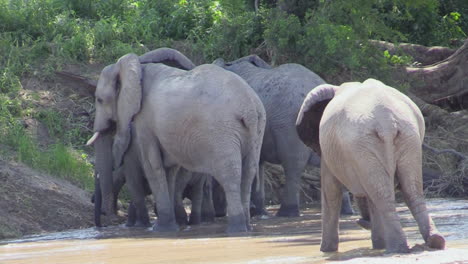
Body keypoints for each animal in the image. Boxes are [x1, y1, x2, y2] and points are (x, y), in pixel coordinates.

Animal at [86, 48, 266, 233]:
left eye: (99, 99)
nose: (105, 222)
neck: (136, 67)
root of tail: (250, 109)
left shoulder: (144, 119)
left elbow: (152, 164)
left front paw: (161, 230)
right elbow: (169, 169)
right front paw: (171, 226)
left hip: (223, 130)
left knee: (230, 174)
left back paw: (236, 230)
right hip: (257, 129)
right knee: (248, 172)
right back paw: (247, 227)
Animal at [214, 55, 352, 217]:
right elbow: (257, 164)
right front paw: (258, 212)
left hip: (289, 126)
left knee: (293, 165)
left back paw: (286, 213)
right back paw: (346, 212)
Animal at [296, 79, 446, 254]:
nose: (360, 220)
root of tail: (387, 122)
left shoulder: (328, 152)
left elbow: (331, 192)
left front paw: (326, 251)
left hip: (364, 144)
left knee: (380, 194)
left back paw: (396, 248)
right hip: (407, 139)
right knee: (409, 191)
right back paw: (433, 242)